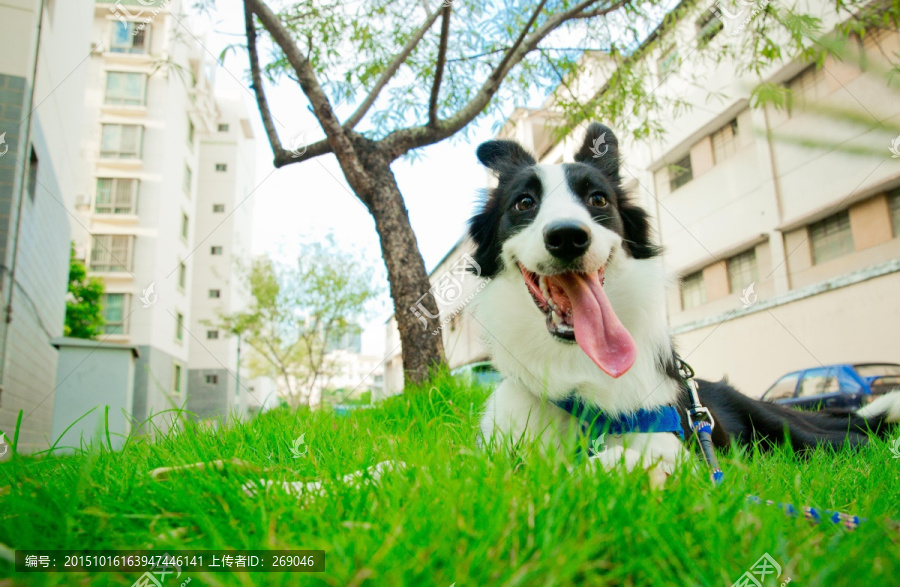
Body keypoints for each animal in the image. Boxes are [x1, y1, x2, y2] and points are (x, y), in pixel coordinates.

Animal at [468, 124, 900, 486]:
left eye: (597, 198)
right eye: (524, 203)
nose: (568, 236)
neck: (575, 371)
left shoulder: (673, 439)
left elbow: (621, 458)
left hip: (794, 433)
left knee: (856, 440)